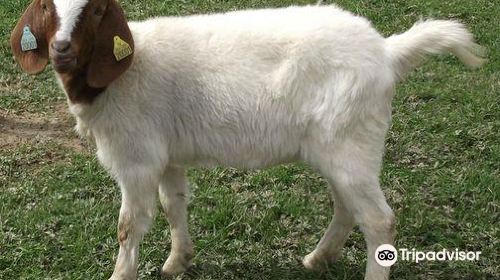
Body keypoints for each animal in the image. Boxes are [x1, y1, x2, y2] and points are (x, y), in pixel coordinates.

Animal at [9, 0, 484, 280]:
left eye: (94, 11)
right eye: (46, 7)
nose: (61, 49)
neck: (126, 67)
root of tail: (387, 52)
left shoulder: (136, 157)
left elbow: (131, 225)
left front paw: (122, 274)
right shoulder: (167, 154)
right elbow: (173, 204)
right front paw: (178, 261)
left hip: (351, 143)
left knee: (379, 220)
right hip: (340, 148)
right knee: (347, 207)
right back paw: (318, 259)